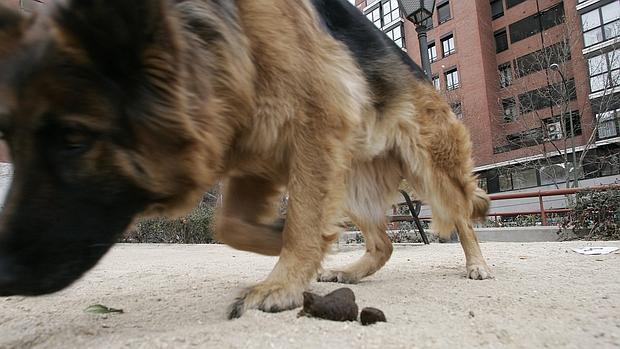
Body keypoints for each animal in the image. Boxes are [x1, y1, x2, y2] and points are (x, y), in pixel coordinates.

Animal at [0, 0, 492, 316]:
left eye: (73, 137)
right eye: (8, 136)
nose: (6, 276)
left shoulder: (312, 126)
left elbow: (300, 220)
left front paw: (282, 281)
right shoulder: (255, 144)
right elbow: (230, 226)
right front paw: (288, 243)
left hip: (427, 170)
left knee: (463, 216)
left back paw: (478, 265)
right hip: (349, 178)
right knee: (384, 243)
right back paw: (350, 272)